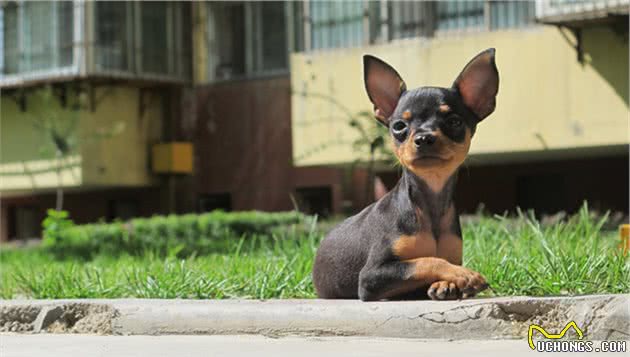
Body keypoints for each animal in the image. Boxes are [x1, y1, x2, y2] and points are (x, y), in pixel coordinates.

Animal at [314, 47, 502, 298]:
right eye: (399, 127)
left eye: (454, 122)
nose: (423, 138)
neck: (430, 205)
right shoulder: (371, 276)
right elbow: (426, 261)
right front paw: (464, 275)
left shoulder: (451, 255)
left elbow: (435, 261)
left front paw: (446, 284)